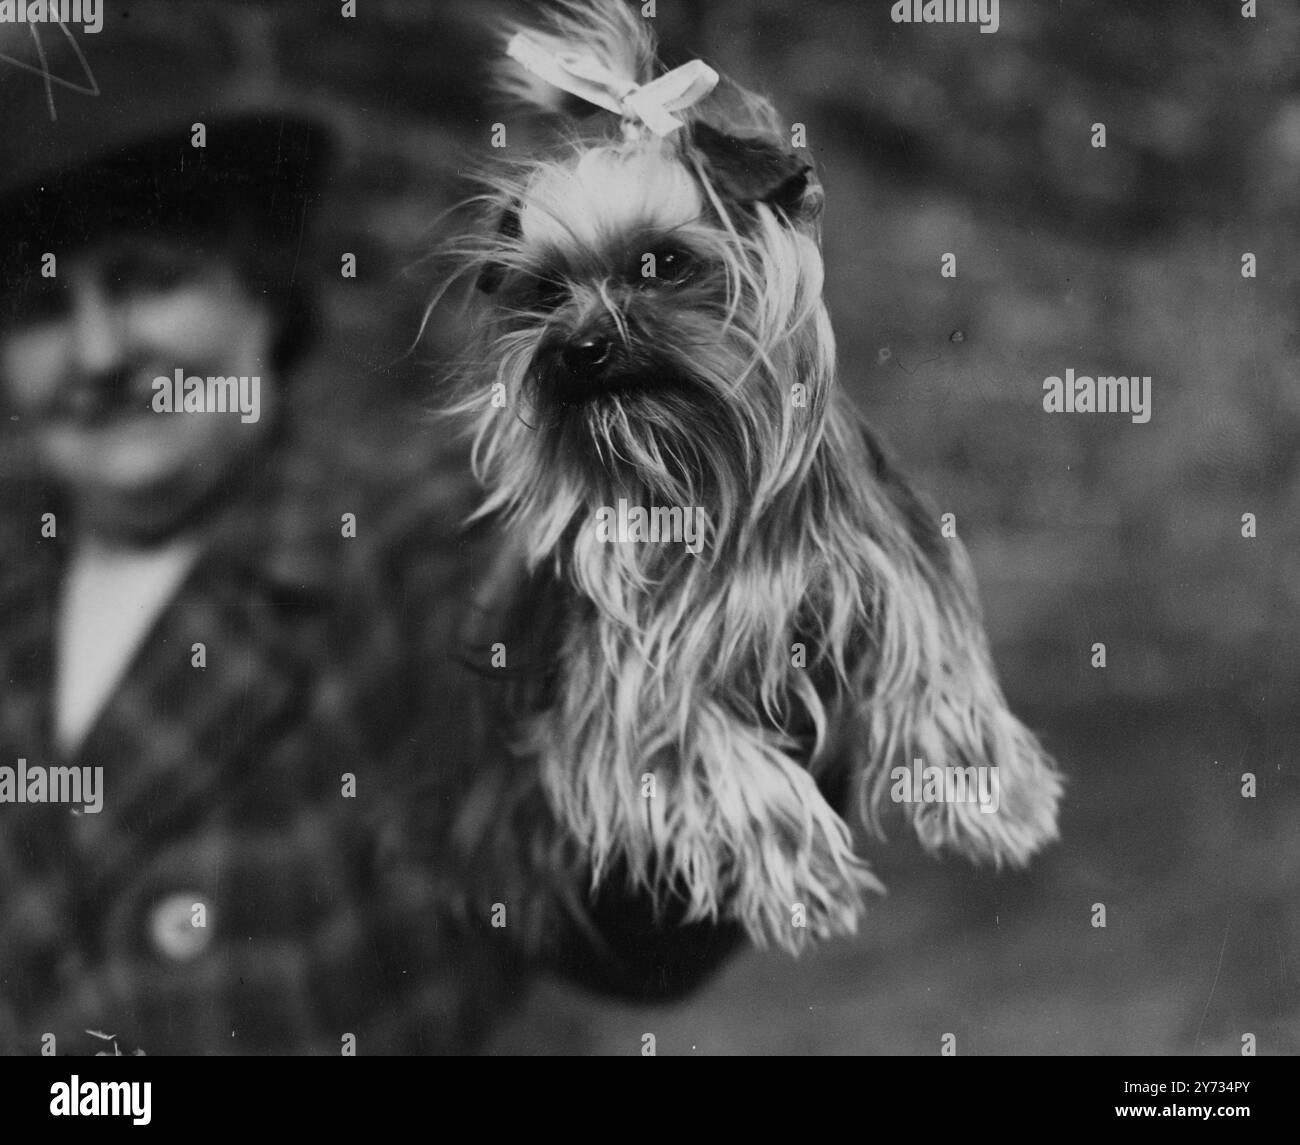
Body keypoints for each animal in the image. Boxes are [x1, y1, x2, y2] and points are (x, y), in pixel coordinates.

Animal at [441, 0, 1060, 946]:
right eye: (546, 292)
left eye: (664, 263)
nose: (580, 349)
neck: (701, 470)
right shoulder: (631, 678)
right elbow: (714, 754)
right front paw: (812, 879)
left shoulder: (894, 566)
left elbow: (936, 663)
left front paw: (998, 799)